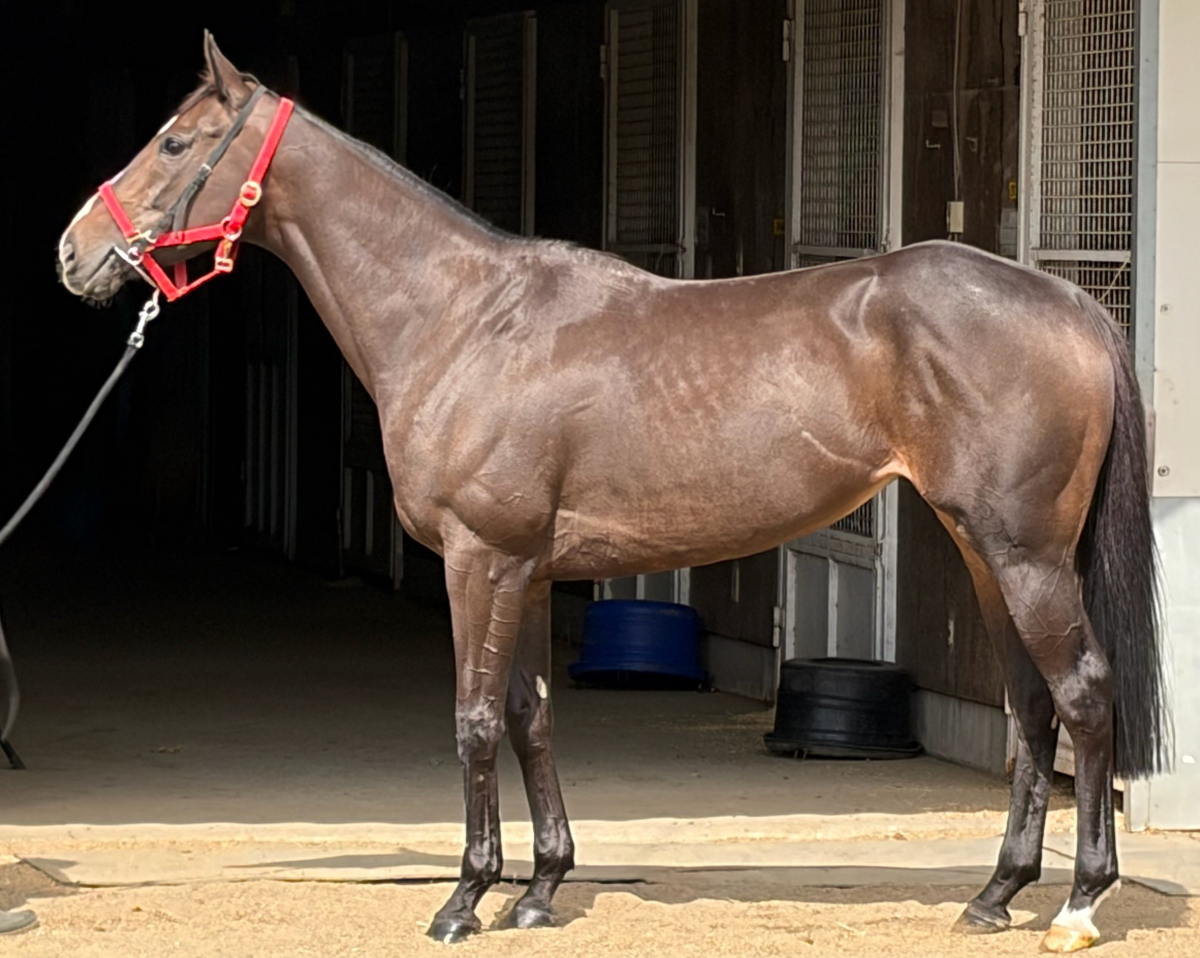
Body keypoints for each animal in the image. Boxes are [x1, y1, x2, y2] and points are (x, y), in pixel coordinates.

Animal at [56, 33, 1168, 952]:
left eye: (174, 141)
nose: (71, 253)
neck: (466, 319)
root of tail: (1068, 299)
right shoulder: (530, 570)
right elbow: (530, 715)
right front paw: (542, 889)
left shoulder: (482, 560)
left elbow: (472, 718)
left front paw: (464, 900)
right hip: (985, 552)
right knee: (1031, 706)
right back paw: (995, 894)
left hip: (1023, 554)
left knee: (1083, 692)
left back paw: (1077, 905)